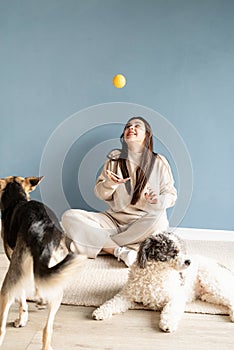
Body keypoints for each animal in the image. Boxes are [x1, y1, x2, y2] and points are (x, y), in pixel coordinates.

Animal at [0, 176, 85, 348]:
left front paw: (22, 318)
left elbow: (22, 299)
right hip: (58, 285)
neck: (17, 198)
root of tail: (42, 234)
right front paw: (40, 300)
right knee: (48, 329)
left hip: (9, 283)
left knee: (1, 329)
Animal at [92, 231, 234, 332]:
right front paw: (100, 312)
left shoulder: (176, 297)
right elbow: (112, 302)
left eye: (181, 250)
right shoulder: (126, 295)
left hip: (211, 280)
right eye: (173, 252)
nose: (189, 261)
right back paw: (207, 297)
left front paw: (167, 324)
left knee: (230, 297)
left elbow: (170, 309)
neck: (155, 273)